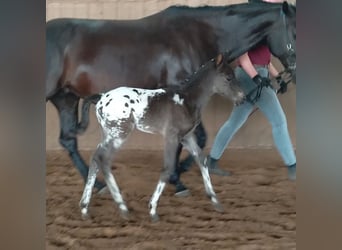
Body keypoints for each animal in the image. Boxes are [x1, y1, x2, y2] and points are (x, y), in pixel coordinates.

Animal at [46, 1, 296, 193]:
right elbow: (192, 138)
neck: (197, 37)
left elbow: (195, 139)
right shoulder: (181, 95)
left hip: (66, 98)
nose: (294, 73)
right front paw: (178, 178)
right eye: (295, 33)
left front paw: (179, 174)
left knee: (68, 140)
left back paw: (98, 185)